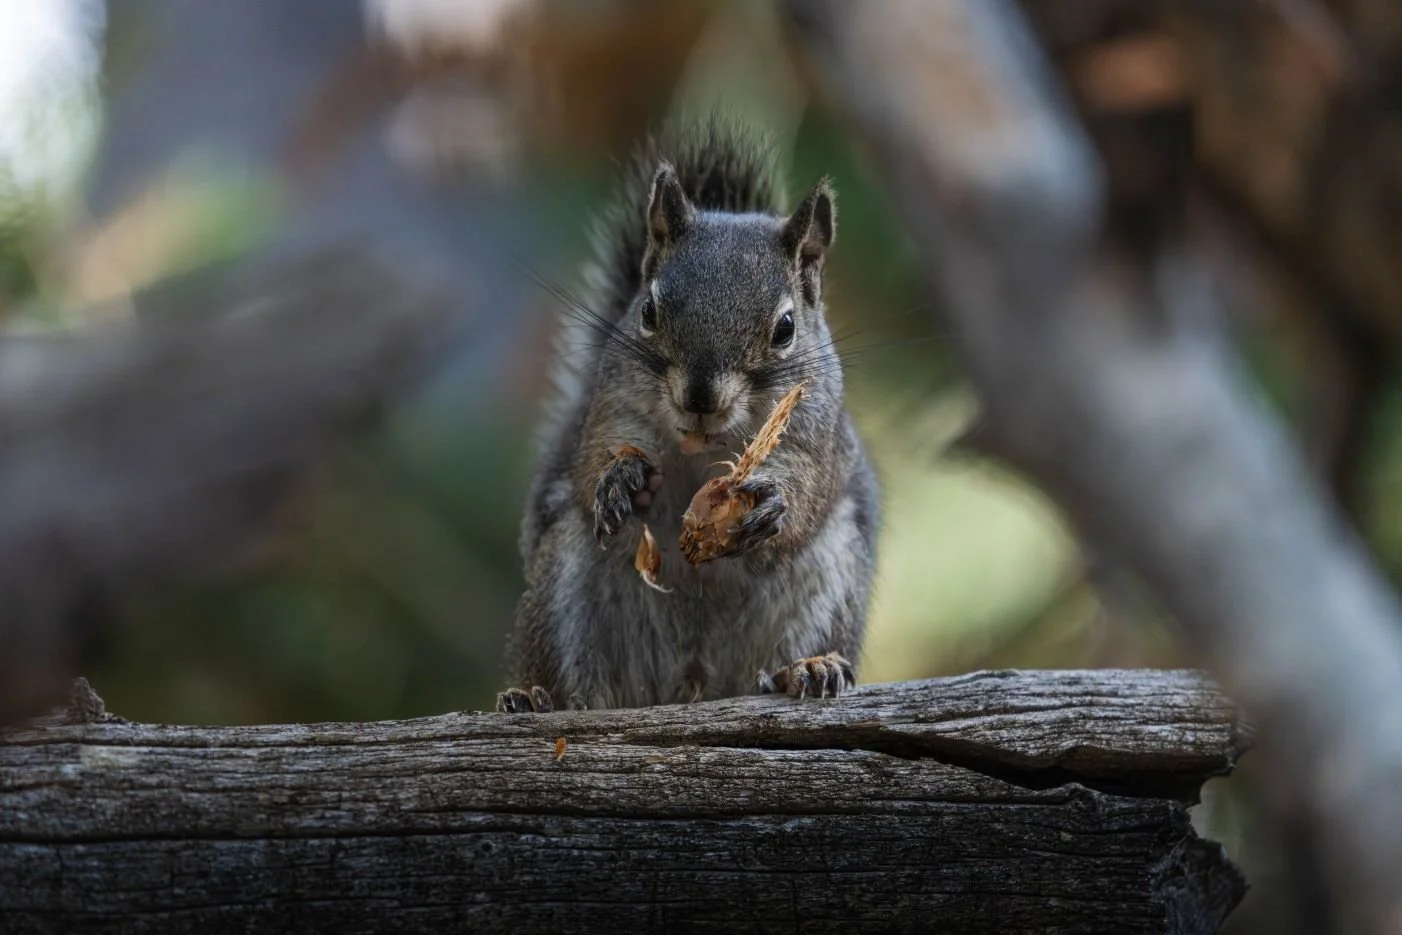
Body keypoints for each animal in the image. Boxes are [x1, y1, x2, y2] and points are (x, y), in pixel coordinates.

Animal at [496, 114, 879, 712]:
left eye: (786, 328)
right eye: (648, 311)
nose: (699, 399)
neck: (705, 448)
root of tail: (689, 683)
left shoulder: (817, 433)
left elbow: (808, 487)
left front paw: (776, 501)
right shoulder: (611, 405)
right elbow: (595, 455)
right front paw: (620, 477)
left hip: (829, 584)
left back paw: (807, 669)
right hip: (565, 581)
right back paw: (543, 699)